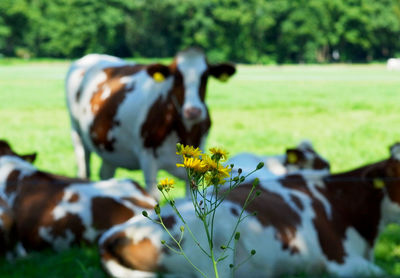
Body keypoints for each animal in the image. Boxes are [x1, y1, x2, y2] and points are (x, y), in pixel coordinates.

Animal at [65, 47, 234, 197]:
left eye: (205, 76)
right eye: (176, 77)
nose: (193, 111)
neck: (185, 132)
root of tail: (92, 57)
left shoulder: (196, 164)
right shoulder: (148, 159)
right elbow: (153, 197)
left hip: (109, 149)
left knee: (106, 174)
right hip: (76, 133)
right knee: (83, 170)